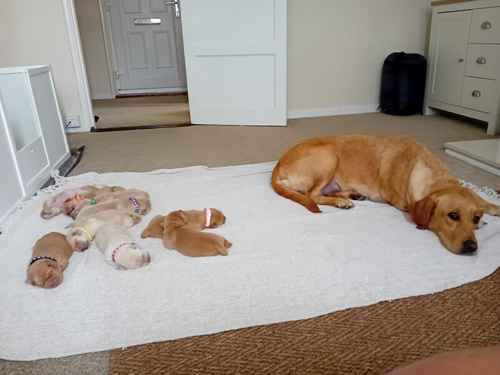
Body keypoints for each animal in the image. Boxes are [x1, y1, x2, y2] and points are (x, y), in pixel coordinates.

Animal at [274, 135, 500, 256]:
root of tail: (277, 167)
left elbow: (486, 202)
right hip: (329, 156)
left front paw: (489, 212)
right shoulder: (406, 204)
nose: (472, 247)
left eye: (475, 217)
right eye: (452, 215)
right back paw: (341, 201)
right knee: (313, 195)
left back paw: (351, 195)